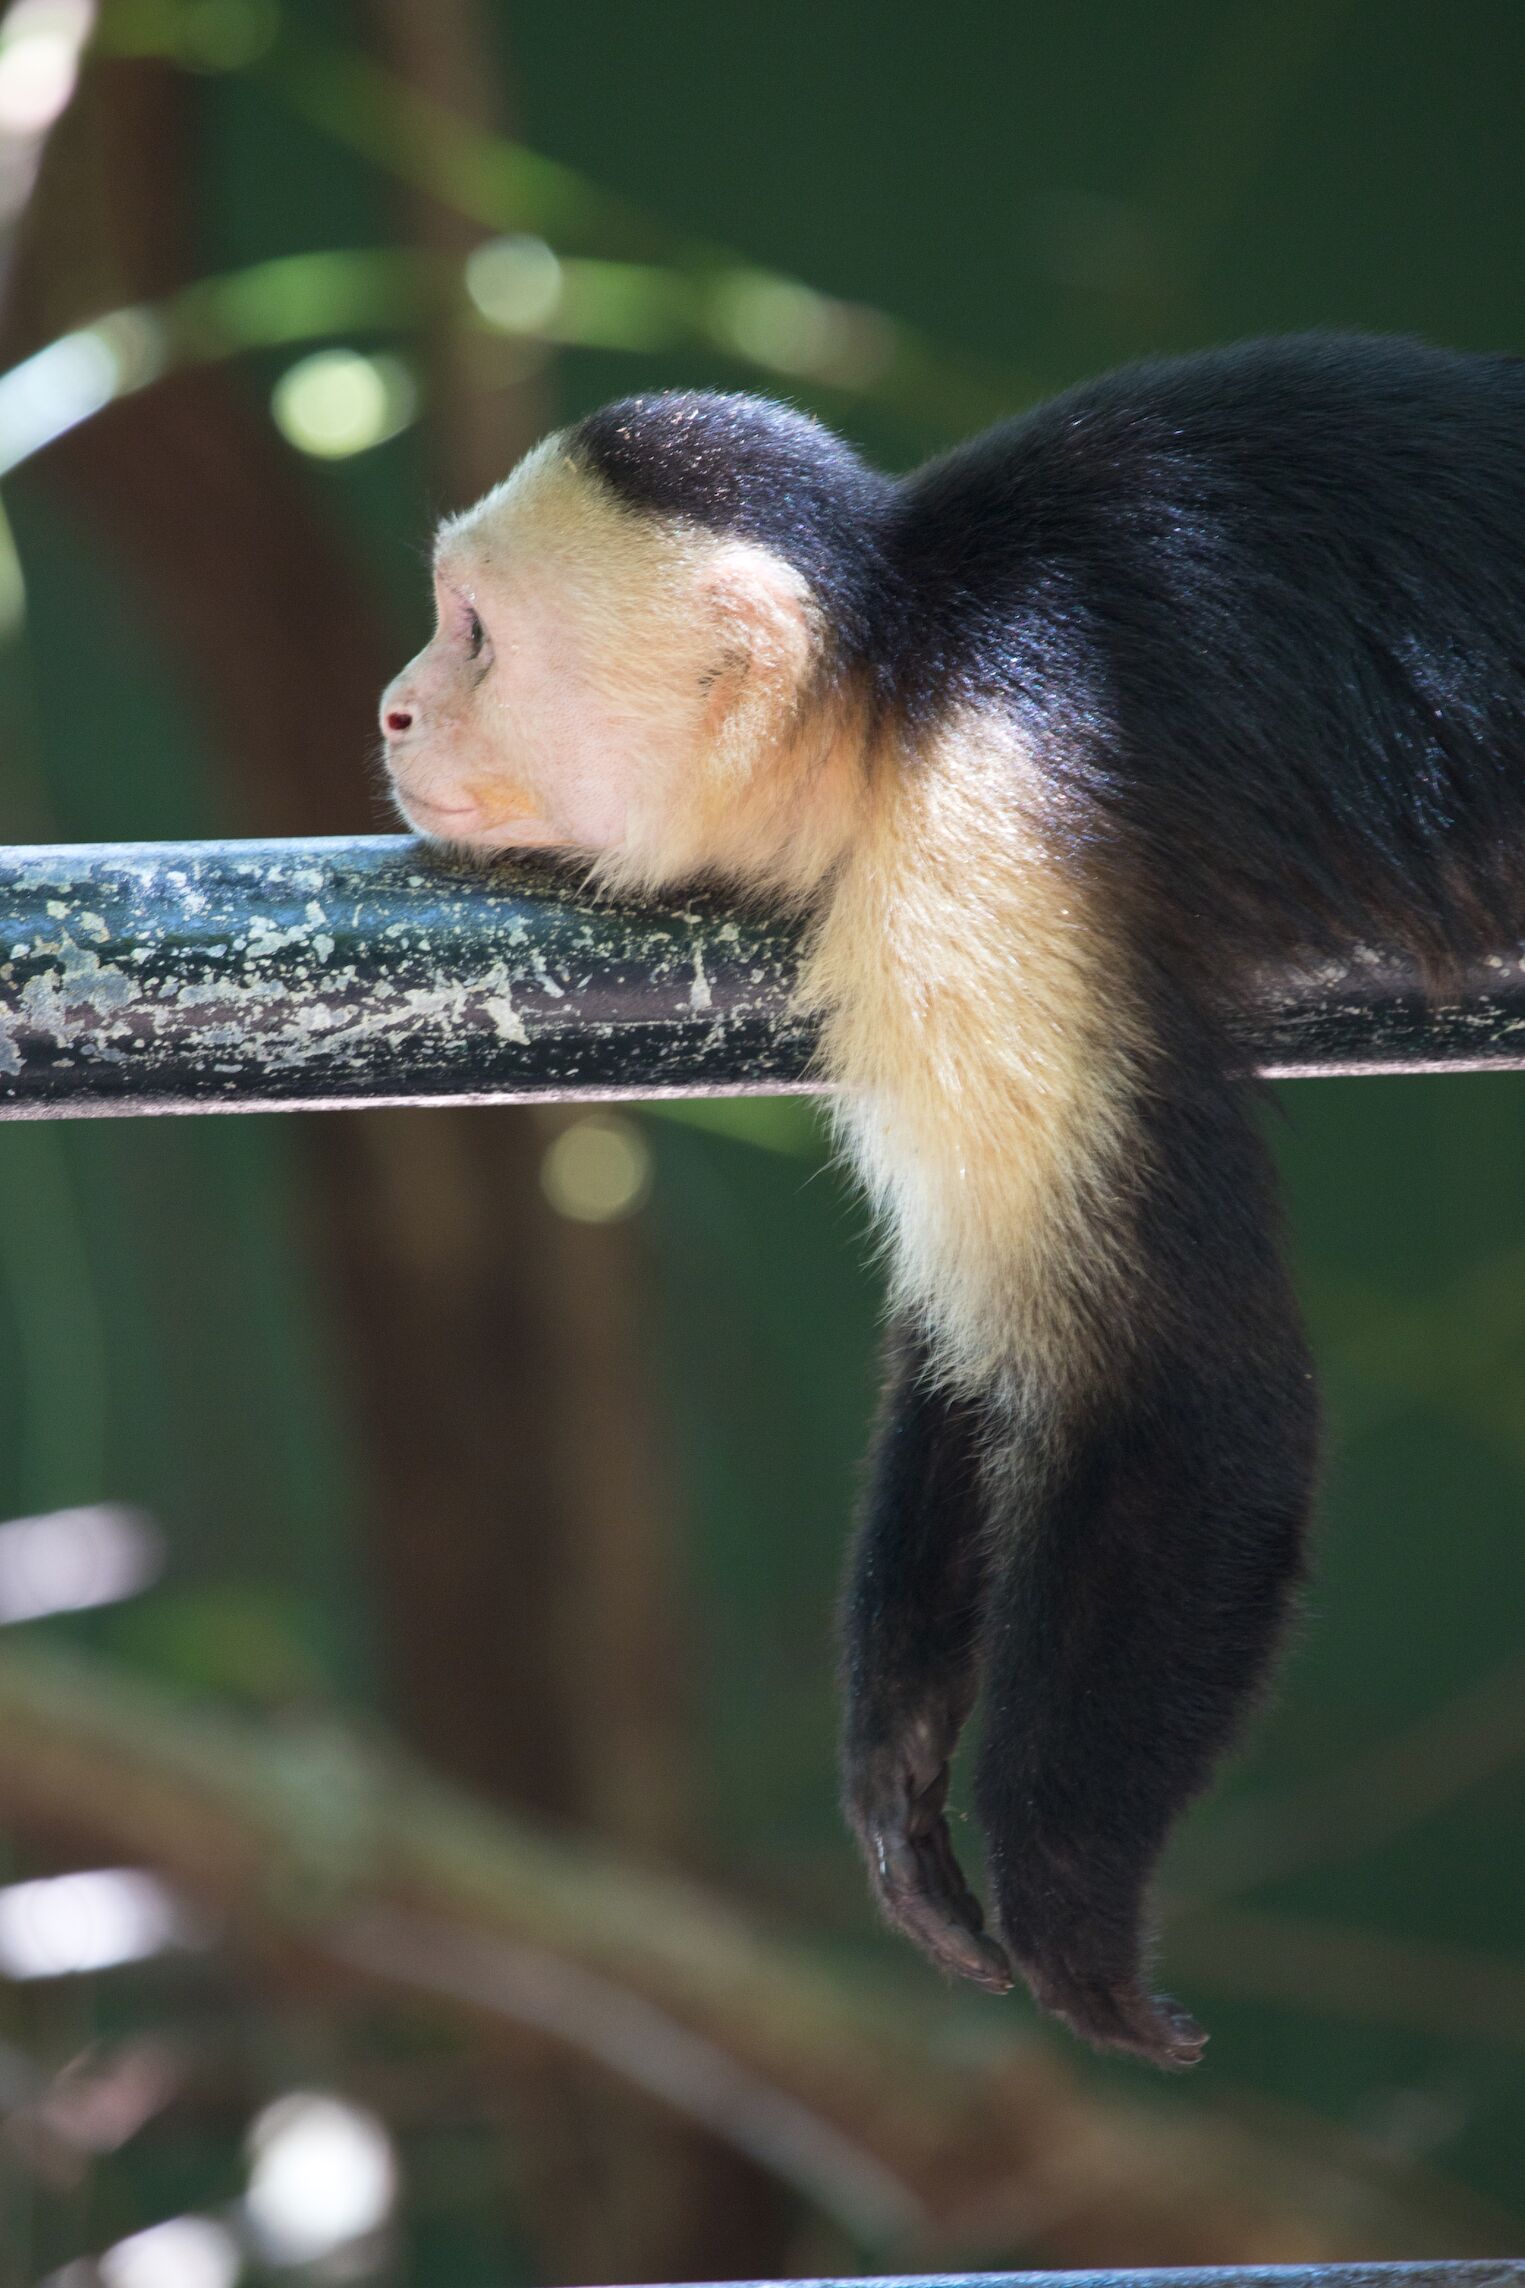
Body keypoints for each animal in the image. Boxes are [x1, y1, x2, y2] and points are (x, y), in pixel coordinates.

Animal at [378, 333, 1525, 2066]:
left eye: (477, 638)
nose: (393, 707)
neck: (907, 671)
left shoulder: (983, 841)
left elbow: (1179, 1392)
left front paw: (1070, 1903)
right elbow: (976, 1337)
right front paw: (896, 1764)